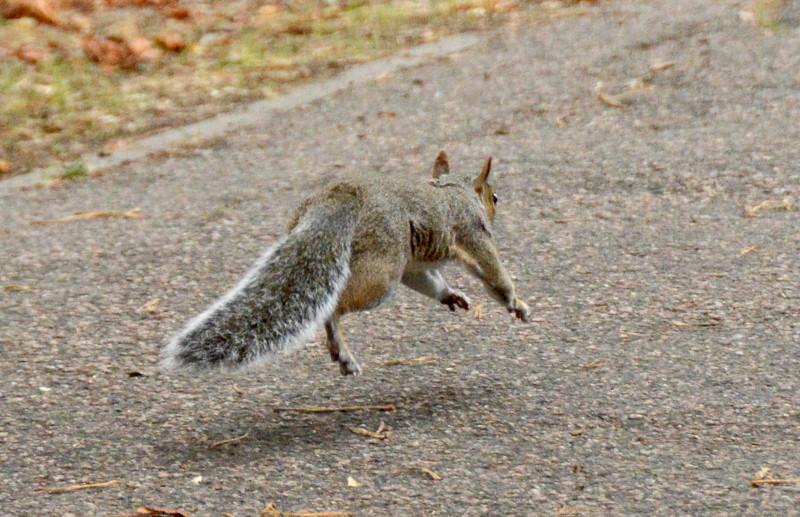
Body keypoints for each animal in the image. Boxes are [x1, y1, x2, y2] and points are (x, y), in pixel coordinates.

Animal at [162, 151, 530, 376]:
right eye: (494, 197)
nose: (497, 204)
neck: (453, 189)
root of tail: (342, 196)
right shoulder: (472, 233)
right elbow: (493, 272)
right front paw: (516, 303)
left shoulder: (412, 264)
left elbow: (428, 281)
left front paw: (451, 295)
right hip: (380, 274)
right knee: (334, 307)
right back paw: (341, 350)